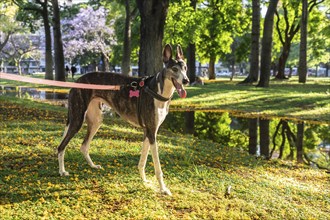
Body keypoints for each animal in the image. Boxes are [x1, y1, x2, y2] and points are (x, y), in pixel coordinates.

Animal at [57, 43, 188, 195]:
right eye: (174, 69)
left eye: (185, 68)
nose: (186, 80)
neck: (158, 91)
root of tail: (77, 82)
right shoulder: (152, 132)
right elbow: (157, 167)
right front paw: (163, 189)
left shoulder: (148, 132)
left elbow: (142, 161)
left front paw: (144, 180)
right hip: (77, 120)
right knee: (61, 146)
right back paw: (62, 171)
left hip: (96, 121)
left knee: (84, 146)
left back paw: (93, 166)